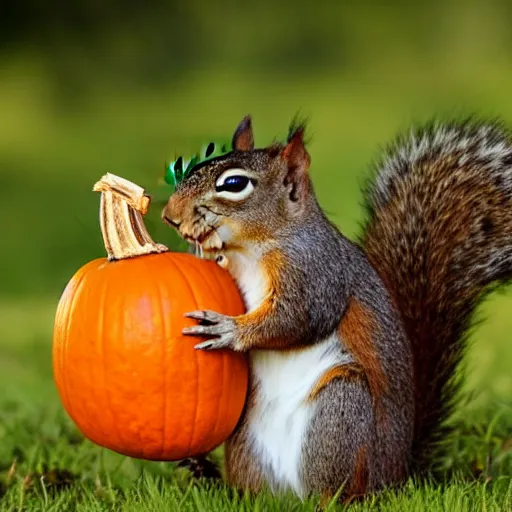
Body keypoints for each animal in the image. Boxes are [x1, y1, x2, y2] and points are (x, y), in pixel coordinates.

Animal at [162, 115, 512, 500]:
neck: (250, 250)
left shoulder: (317, 273)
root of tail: (395, 476)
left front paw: (229, 330)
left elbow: (296, 319)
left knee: (332, 490)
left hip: (340, 411)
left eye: (234, 184)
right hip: (247, 443)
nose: (170, 216)